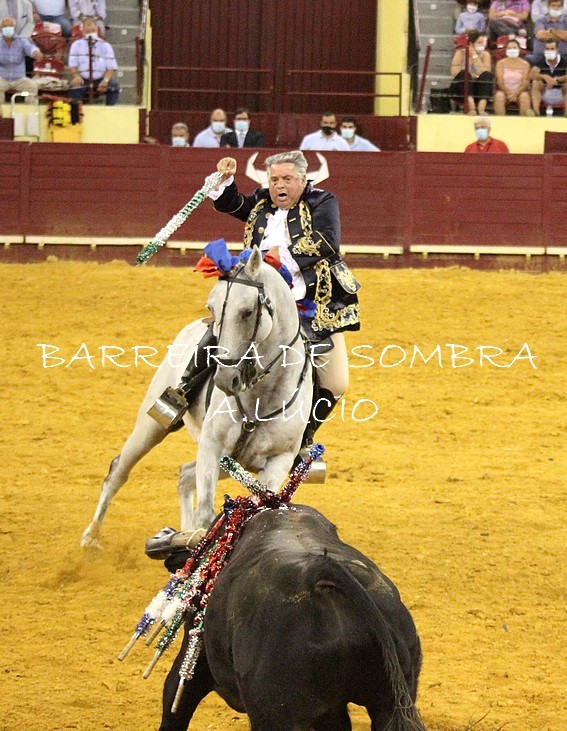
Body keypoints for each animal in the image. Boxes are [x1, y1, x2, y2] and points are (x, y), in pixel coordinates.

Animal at [81, 247, 313, 548]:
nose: (225, 379)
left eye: (247, 312)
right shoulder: (211, 446)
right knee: (119, 470)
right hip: (152, 425)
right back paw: (91, 537)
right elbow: (205, 515)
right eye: (211, 308)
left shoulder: (278, 461)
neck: (263, 396)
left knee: (184, 475)